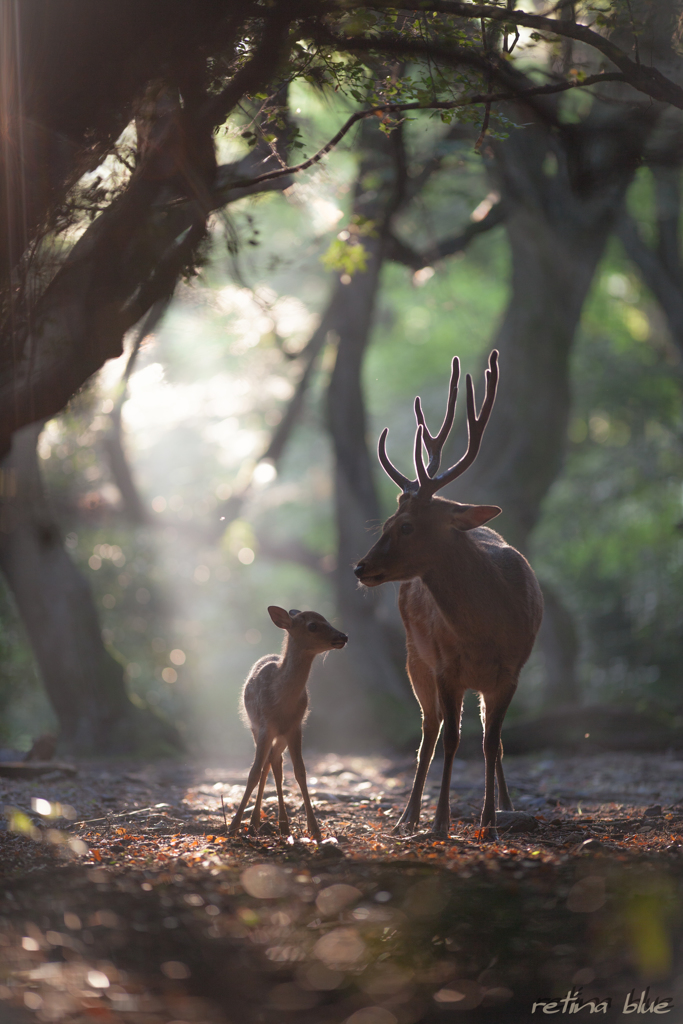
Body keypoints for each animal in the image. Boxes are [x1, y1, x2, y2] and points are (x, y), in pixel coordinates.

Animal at [228, 606, 348, 839]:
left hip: (281, 736)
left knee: (275, 762)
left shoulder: (295, 727)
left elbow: (300, 772)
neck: (282, 702)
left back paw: (280, 823)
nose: (343, 636)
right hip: (255, 727)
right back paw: (257, 822)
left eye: (327, 620)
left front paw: (315, 829)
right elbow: (253, 772)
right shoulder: (265, 725)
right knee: (266, 764)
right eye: (312, 625)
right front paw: (233, 825)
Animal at [356, 352, 540, 839]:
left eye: (405, 526)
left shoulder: (510, 671)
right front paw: (438, 823)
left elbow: (492, 743)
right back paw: (407, 818)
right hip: (413, 657)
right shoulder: (445, 666)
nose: (360, 568)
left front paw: (490, 822)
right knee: (430, 733)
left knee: (489, 740)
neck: (484, 632)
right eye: (384, 524)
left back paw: (506, 807)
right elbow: (452, 740)